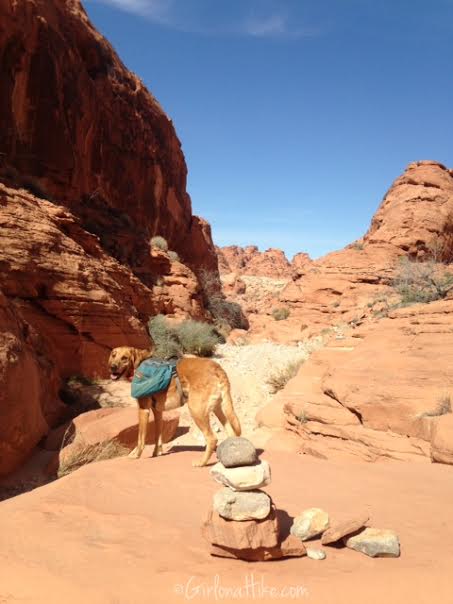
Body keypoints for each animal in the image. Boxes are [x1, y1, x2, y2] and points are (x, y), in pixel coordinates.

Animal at [107, 344, 240, 468]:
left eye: (124, 358)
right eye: (113, 355)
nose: (112, 367)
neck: (139, 364)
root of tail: (217, 368)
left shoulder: (143, 409)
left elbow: (141, 438)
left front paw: (136, 454)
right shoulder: (158, 412)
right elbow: (158, 435)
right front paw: (157, 452)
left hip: (196, 410)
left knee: (212, 438)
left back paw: (201, 462)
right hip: (218, 409)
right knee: (231, 432)